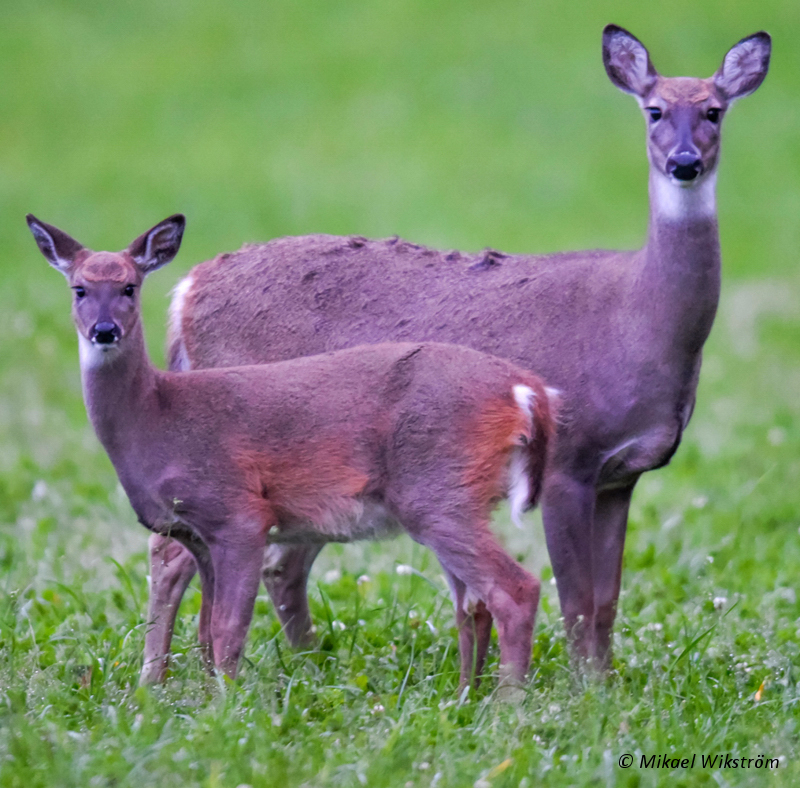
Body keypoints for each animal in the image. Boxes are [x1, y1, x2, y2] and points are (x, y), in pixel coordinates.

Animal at [29, 212, 556, 688]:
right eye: (78, 289)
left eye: (129, 288)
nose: (104, 331)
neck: (158, 416)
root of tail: (526, 391)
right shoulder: (197, 533)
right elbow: (208, 625)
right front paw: (202, 700)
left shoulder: (240, 513)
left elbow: (227, 628)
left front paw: (225, 708)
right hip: (453, 499)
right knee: (474, 602)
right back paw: (467, 695)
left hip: (438, 494)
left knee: (514, 589)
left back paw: (506, 703)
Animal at [142, 24, 768, 676]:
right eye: (654, 110)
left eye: (714, 111)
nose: (684, 163)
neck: (637, 320)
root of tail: (187, 288)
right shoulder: (568, 462)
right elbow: (576, 600)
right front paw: (582, 690)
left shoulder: (623, 476)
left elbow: (606, 602)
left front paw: (604, 682)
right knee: (174, 552)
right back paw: (160, 680)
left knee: (271, 562)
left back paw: (299, 666)